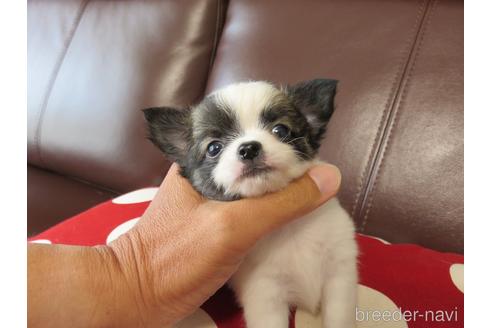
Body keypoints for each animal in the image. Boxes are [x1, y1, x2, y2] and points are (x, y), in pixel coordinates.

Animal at [144, 80, 356, 328]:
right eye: (214, 148)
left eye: (280, 130)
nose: (248, 148)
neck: (288, 228)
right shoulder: (265, 293)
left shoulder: (339, 274)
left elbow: (339, 316)